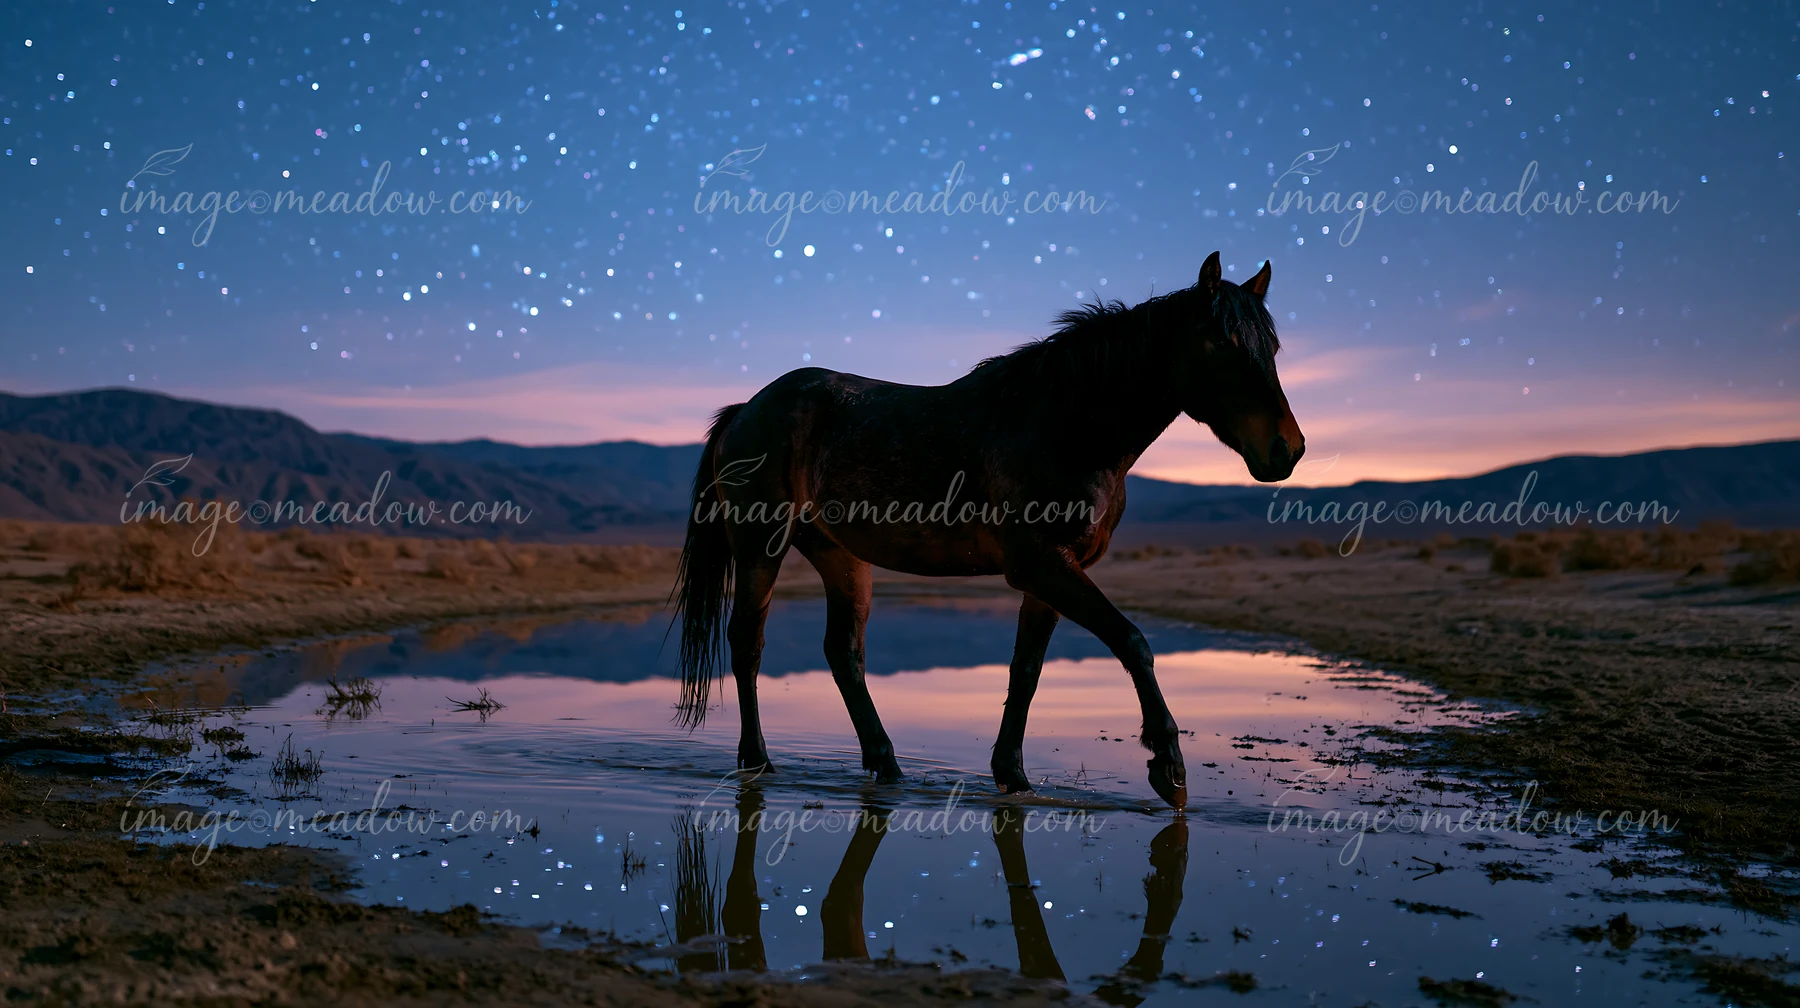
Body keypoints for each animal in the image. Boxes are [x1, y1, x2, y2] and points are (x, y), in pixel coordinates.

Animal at [672, 251, 1304, 808]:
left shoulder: (1053, 576)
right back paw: (758, 761)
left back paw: (886, 766)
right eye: (1221, 343)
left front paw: (1013, 777)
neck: (1068, 426)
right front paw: (1167, 767)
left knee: (843, 653)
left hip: (841, 557)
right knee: (747, 642)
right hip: (762, 548)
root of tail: (746, 410)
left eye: (1272, 347)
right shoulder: (1044, 566)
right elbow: (1133, 642)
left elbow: (1026, 671)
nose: (1288, 450)